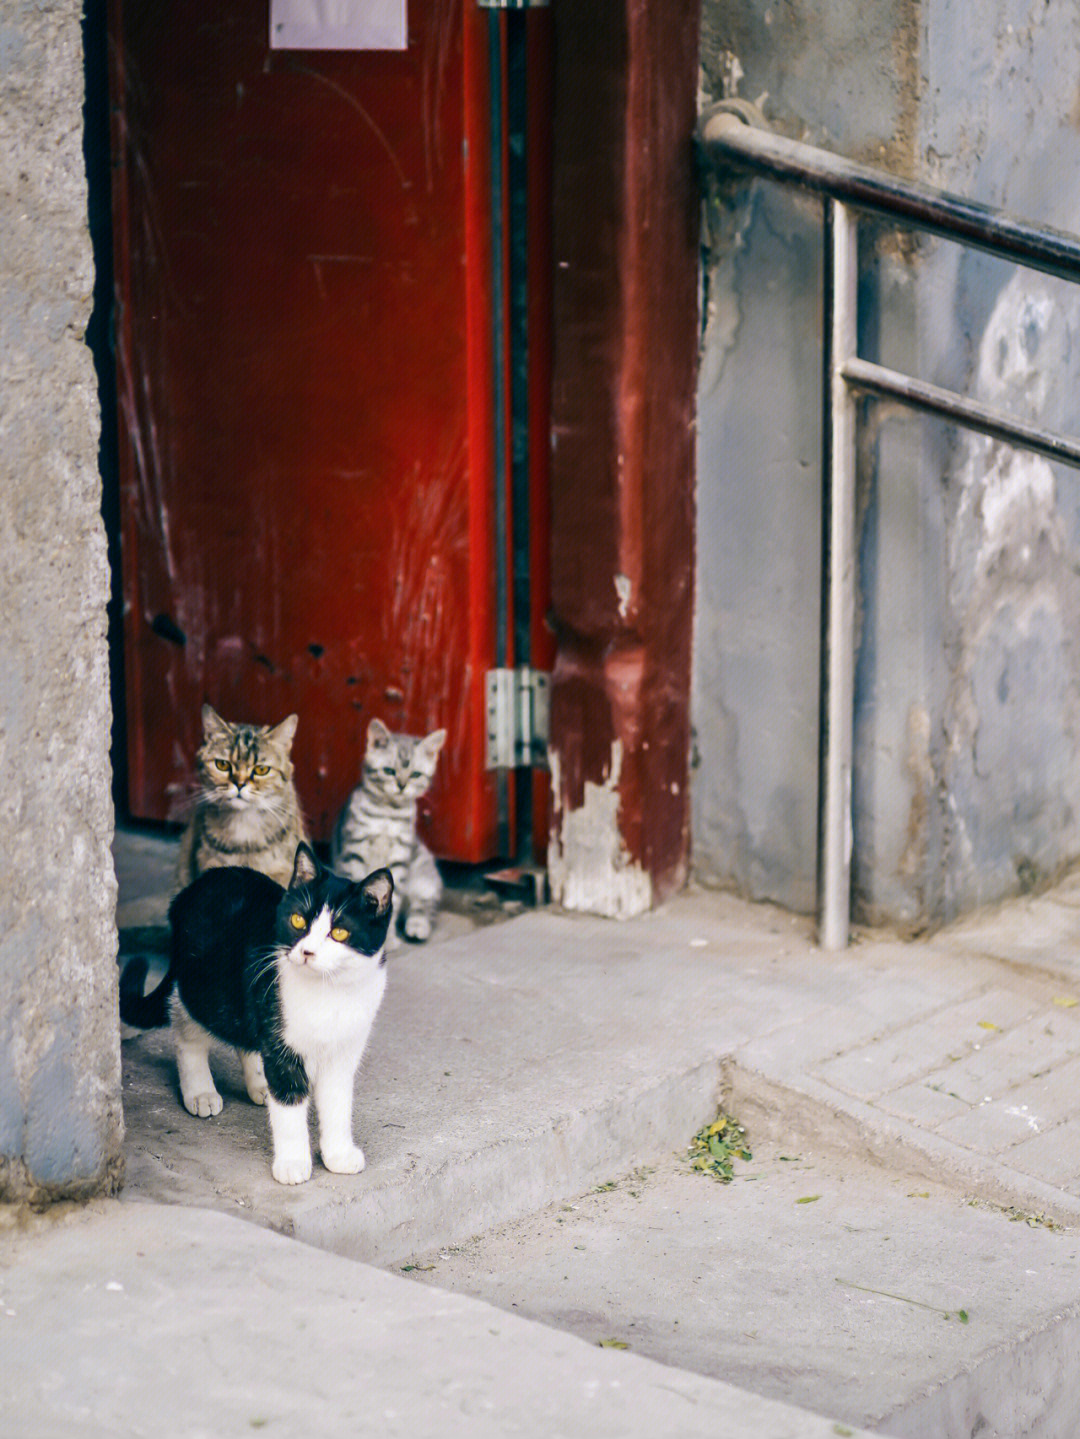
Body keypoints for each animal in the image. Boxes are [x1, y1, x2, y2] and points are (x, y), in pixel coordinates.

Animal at [122, 840, 394, 1179]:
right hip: (204, 988)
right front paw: (293, 1164)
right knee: (188, 1030)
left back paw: (260, 1083)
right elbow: (290, 1107)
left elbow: (337, 1105)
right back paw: (200, 1091)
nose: (307, 952)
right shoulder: (282, 1046)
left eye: (340, 933)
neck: (328, 991)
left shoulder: (343, 1052)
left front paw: (338, 1155)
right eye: (298, 921)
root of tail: (195, 886)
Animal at [329, 719, 448, 943]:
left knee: (425, 906)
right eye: (389, 771)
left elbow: (395, 898)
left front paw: (389, 938)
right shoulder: (354, 850)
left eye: (415, 775)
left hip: (424, 876)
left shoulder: (400, 857)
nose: (401, 785)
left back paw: (417, 925)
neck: (388, 813)